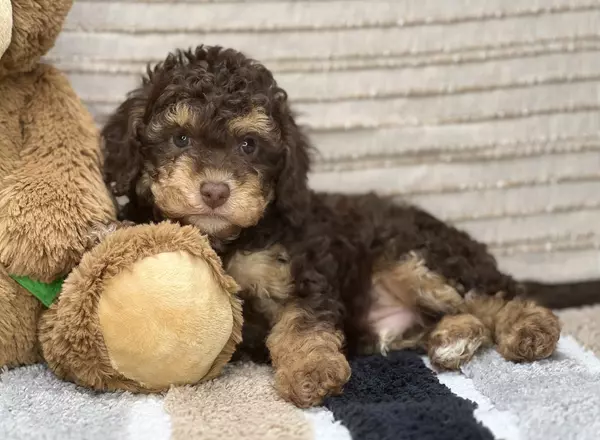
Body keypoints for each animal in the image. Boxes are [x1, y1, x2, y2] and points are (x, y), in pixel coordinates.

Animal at [104, 45, 564, 410]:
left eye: (248, 145)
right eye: (180, 139)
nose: (215, 190)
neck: (228, 240)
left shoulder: (301, 270)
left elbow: (304, 323)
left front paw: (312, 370)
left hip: (416, 255)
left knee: (493, 292)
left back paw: (529, 328)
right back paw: (454, 338)